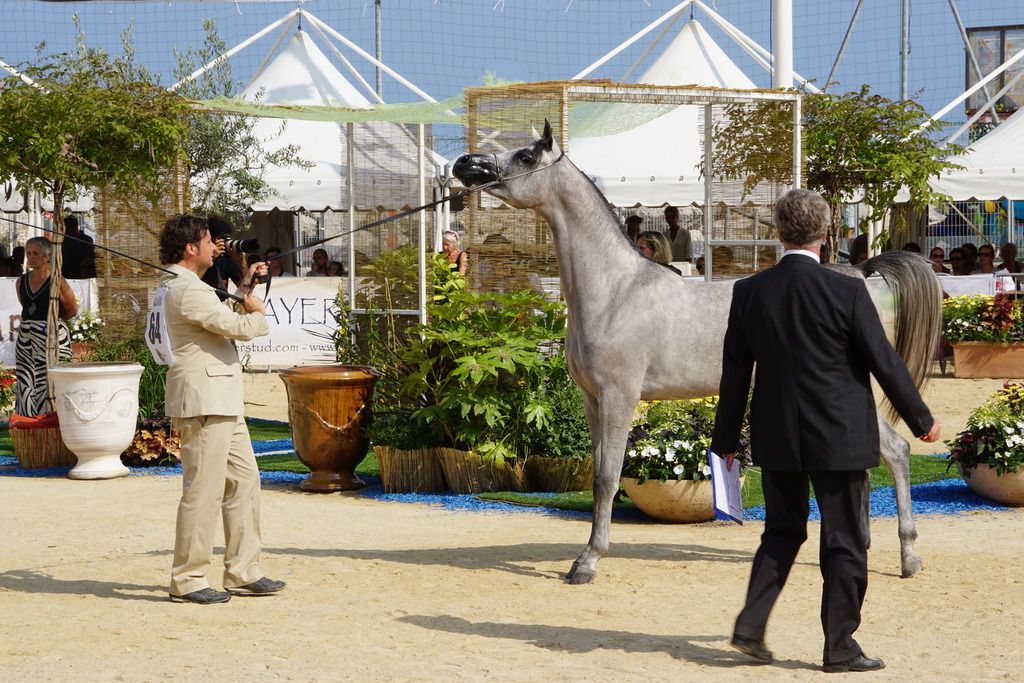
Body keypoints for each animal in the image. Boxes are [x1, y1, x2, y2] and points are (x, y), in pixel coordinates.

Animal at [452, 122, 941, 585]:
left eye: (526, 155)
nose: (465, 164)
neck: (615, 290)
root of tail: (859, 274)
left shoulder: (619, 397)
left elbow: (607, 478)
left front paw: (587, 562)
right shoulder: (592, 400)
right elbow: (597, 476)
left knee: (896, 451)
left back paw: (909, 558)